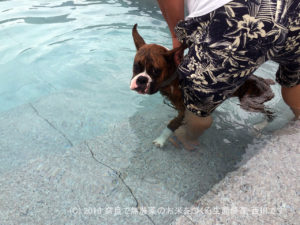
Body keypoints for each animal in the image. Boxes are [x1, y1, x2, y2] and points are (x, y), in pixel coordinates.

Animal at [130, 24, 276, 148]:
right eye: (136, 65)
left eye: (156, 71)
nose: (142, 79)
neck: (173, 78)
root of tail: (264, 81)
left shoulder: (184, 112)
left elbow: (171, 126)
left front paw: (161, 140)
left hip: (248, 103)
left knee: (270, 113)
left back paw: (260, 125)